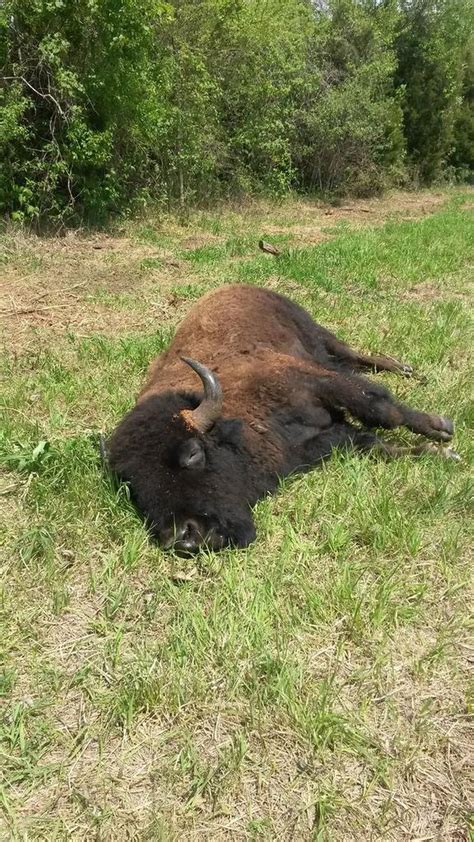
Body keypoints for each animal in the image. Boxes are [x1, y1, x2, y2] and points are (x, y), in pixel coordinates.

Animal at [106, 286, 456, 556]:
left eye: (193, 454)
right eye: (134, 484)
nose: (183, 537)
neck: (239, 414)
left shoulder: (317, 382)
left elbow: (382, 409)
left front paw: (441, 430)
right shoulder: (309, 447)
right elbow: (369, 441)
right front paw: (432, 451)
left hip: (319, 335)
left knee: (355, 356)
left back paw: (404, 369)